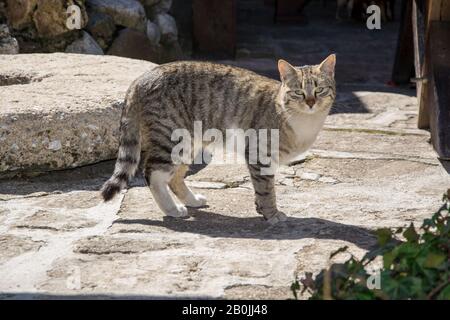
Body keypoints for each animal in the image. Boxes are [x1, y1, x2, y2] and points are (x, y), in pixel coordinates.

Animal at [101, 55, 334, 224]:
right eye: (298, 92)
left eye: (320, 90)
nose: (311, 102)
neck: (304, 122)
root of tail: (140, 78)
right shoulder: (259, 154)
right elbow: (266, 189)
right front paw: (271, 214)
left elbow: (262, 188)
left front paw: (262, 209)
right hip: (171, 139)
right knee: (152, 174)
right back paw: (172, 209)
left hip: (189, 143)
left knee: (175, 177)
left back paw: (192, 200)